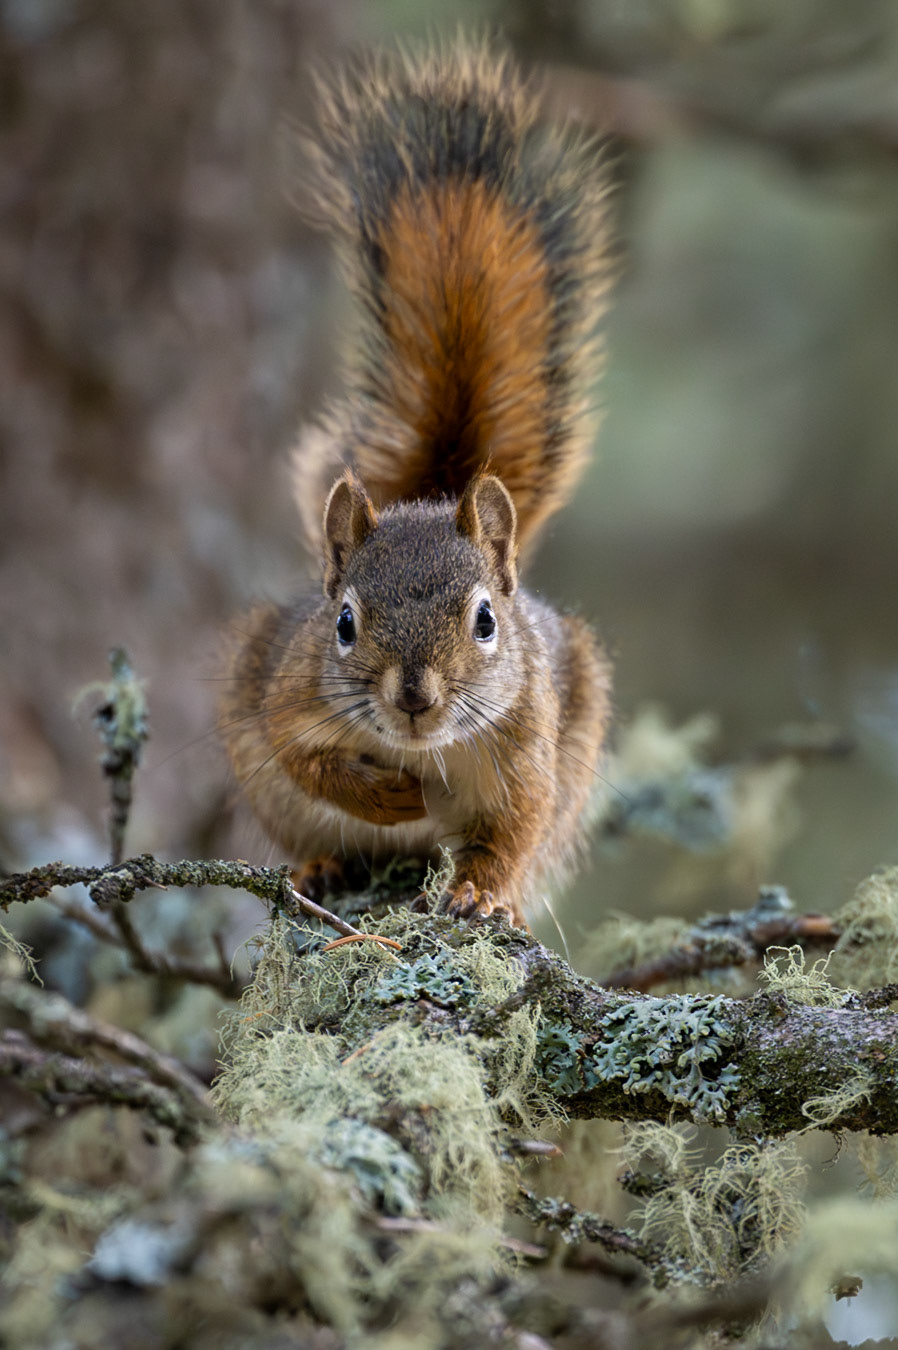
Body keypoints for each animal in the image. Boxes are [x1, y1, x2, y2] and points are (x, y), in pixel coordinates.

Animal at [220, 43, 613, 927]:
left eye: (486, 622)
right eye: (342, 623)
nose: (413, 698)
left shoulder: (529, 751)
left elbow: (512, 831)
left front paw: (480, 893)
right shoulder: (286, 695)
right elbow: (304, 760)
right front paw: (385, 800)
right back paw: (321, 864)